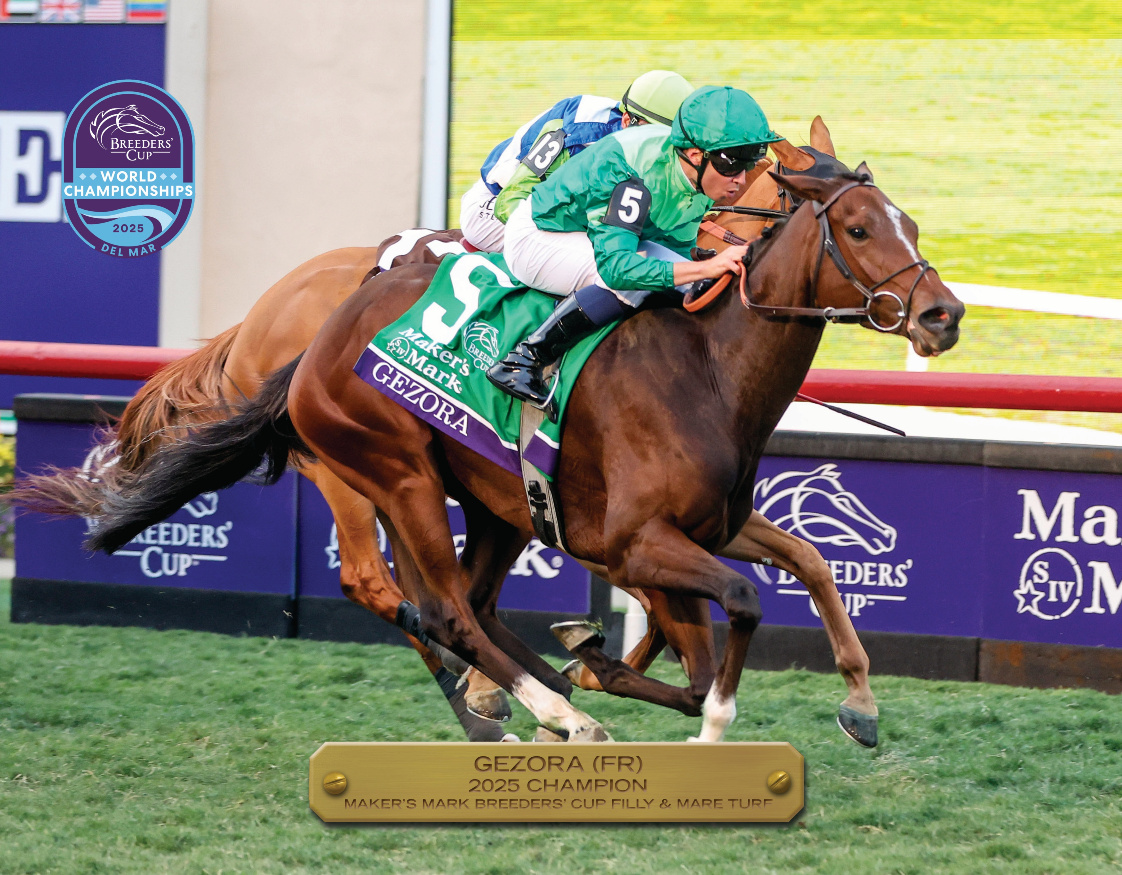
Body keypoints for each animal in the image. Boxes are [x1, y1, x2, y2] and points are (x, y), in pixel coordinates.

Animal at [78, 160, 964, 743]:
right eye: (858, 228)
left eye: (913, 226)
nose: (943, 315)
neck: (706, 369)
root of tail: (305, 340)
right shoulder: (635, 542)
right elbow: (736, 611)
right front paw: (701, 720)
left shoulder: (707, 527)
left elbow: (807, 565)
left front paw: (859, 703)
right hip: (390, 474)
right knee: (434, 604)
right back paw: (547, 712)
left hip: (491, 502)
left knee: (471, 601)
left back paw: (529, 700)